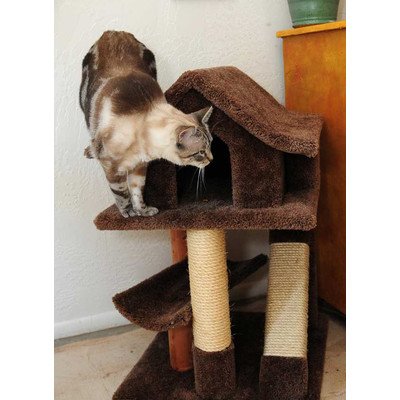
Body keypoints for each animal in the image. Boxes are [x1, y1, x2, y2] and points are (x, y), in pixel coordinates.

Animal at [79, 31, 213, 217]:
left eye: (212, 145)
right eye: (200, 152)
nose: (212, 159)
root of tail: (113, 32)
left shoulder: (140, 167)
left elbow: (137, 191)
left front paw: (143, 211)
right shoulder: (111, 167)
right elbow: (121, 193)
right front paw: (127, 213)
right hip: (85, 104)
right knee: (92, 139)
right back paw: (90, 150)